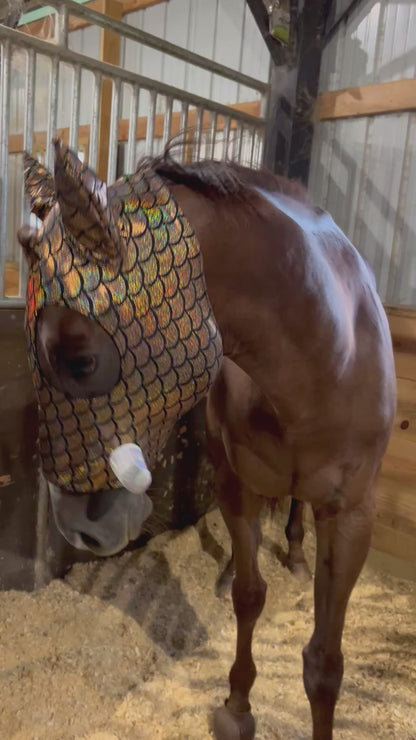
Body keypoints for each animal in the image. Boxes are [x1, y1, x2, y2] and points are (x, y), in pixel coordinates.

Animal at [18, 140, 396, 740]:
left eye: (81, 361)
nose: (78, 529)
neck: (326, 357)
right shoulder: (236, 486)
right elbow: (249, 596)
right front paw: (237, 707)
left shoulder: (353, 516)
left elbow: (325, 660)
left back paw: (295, 554)